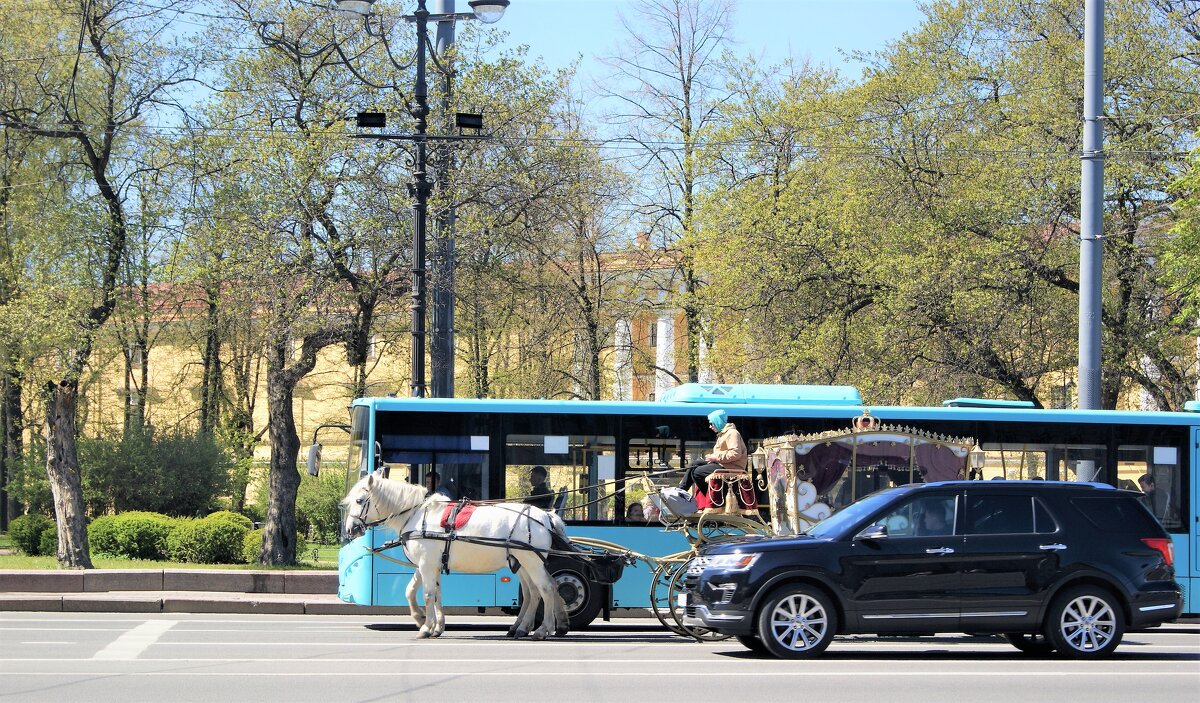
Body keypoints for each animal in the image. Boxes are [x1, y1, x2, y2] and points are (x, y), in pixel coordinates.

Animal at [340, 467, 568, 638]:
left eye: (359, 500)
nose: (350, 529)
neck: (417, 515)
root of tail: (546, 516)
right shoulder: (428, 564)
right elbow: (421, 592)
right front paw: (430, 623)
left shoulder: (426, 564)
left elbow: (428, 594)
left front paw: (426, 626)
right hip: (522, 563)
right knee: (534, 592)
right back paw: (523, 627)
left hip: (532, 562)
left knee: (546, 589)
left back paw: (543, 629)